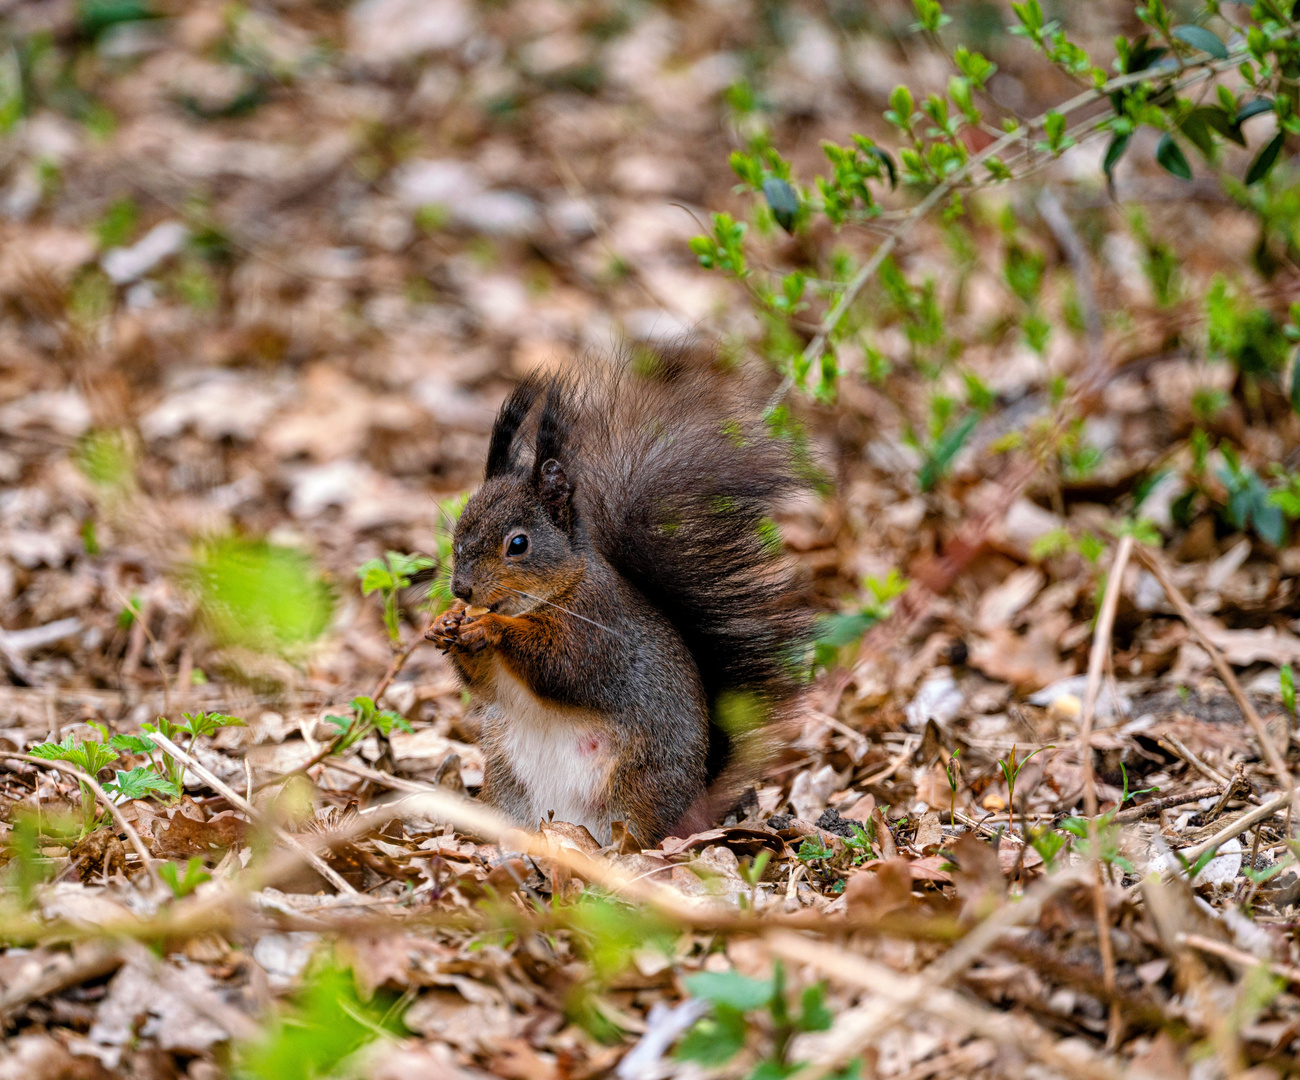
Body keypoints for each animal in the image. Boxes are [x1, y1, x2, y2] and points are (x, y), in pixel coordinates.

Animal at [428, 358, 811, 847]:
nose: (462, 590)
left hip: (638, 784)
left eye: (518, 544)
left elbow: (563, 666)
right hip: (508, 781)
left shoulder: (599, 626)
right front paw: (444, 624)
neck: (549, 596)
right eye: (459, 529)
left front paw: (490, 628)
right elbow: (485, 685)